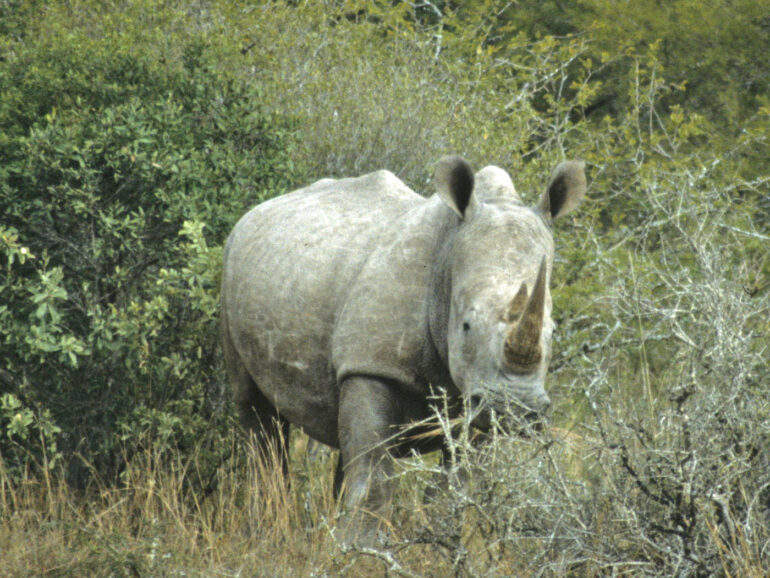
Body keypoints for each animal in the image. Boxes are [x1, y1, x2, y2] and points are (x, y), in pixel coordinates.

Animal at [220, 156, 586, 540]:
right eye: (466, 326)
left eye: (552, 331)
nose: (516, 411)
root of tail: (256, 211)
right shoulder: (372, 364)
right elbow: (374, 479)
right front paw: (359, 549)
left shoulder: (478, 399)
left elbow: (453, 489)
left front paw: (436, 543)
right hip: (232, 267)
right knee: (255, 411)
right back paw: (264, 530)